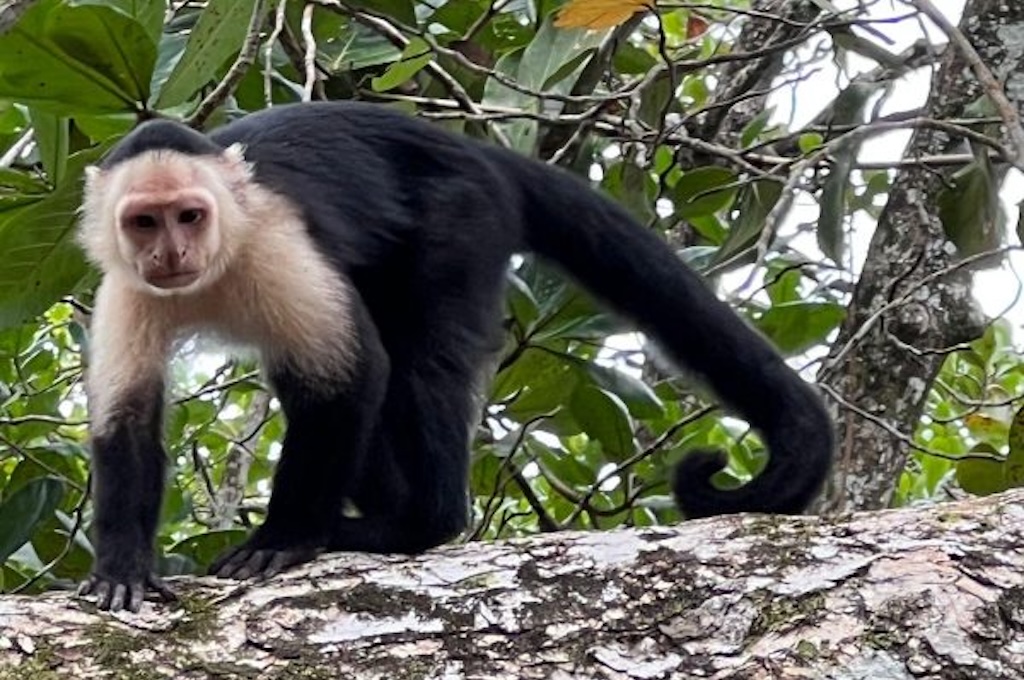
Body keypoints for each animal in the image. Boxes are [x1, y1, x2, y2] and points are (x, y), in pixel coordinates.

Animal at [74, 101, 834, 612]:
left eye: (190, 215)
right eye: (145, 222)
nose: (172, 253)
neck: (214, 270)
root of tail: (472, 151)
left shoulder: (274, 242)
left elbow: (351, 376)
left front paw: (283, 537)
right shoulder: (125, 287)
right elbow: (126, 420)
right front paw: (122, 566)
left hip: (462, 213)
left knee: (418, 363)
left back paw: (415, 525)